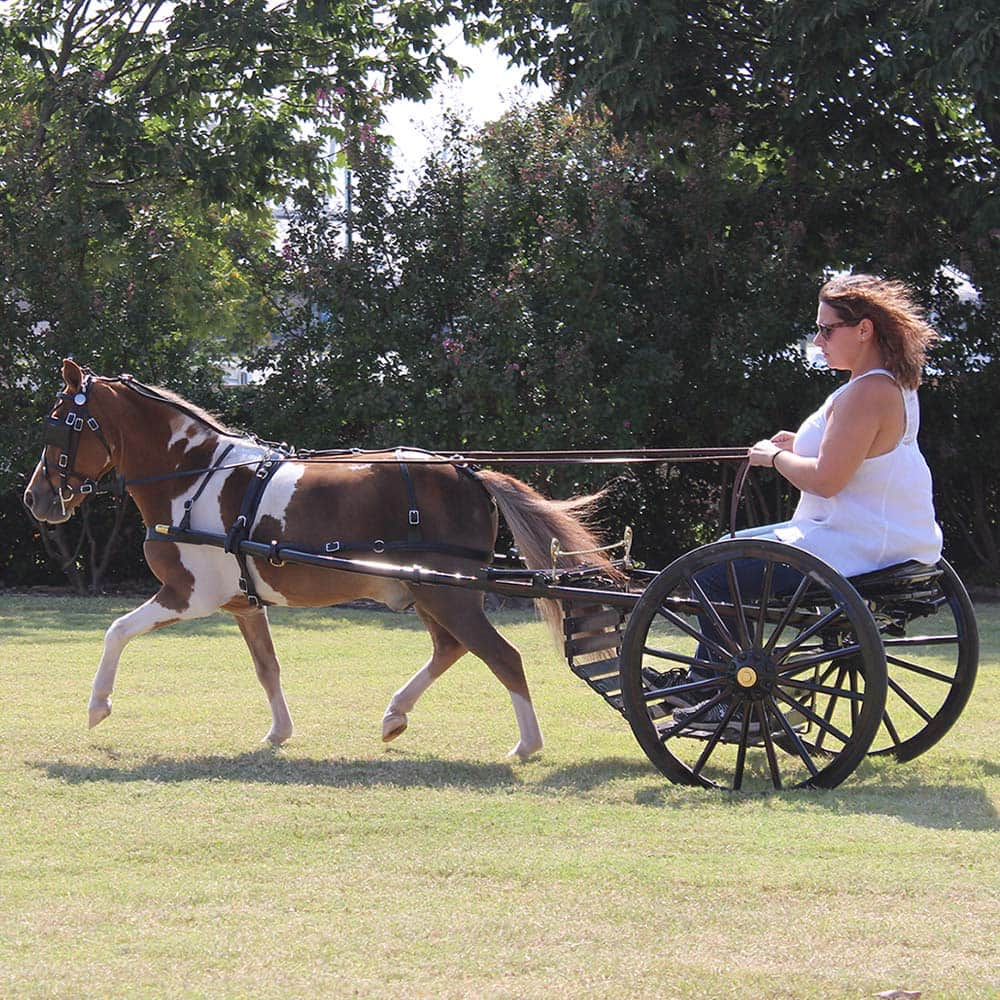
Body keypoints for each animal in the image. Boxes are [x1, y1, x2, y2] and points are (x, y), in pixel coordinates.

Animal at [23, 360, 616, 756]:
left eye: (57, 423)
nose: (35, 498)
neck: (192, 477)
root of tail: (467, 472)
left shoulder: (188, 595)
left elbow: (116, 631)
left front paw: (98, 706)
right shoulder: (242, 604)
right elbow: (267, 667)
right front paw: (279, 732)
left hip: (448, 593)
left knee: (502, 656)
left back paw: (527, 745)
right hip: (429, 592)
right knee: (451, 649)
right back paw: (395, 715)